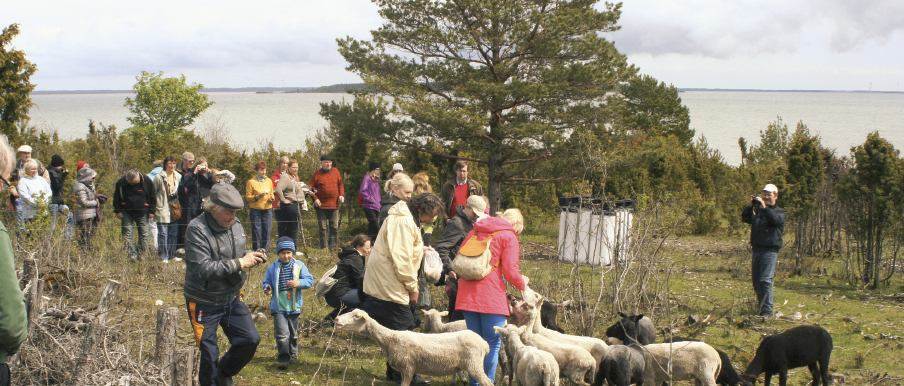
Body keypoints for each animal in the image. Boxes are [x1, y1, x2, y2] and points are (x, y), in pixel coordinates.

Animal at [336, 310, 494, 386]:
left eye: (356, 316)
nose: (337, 319)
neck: (389, 339)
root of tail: (484, 343)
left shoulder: (408, 368)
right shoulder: (405, 370)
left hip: (474, 365)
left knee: (487, 383)